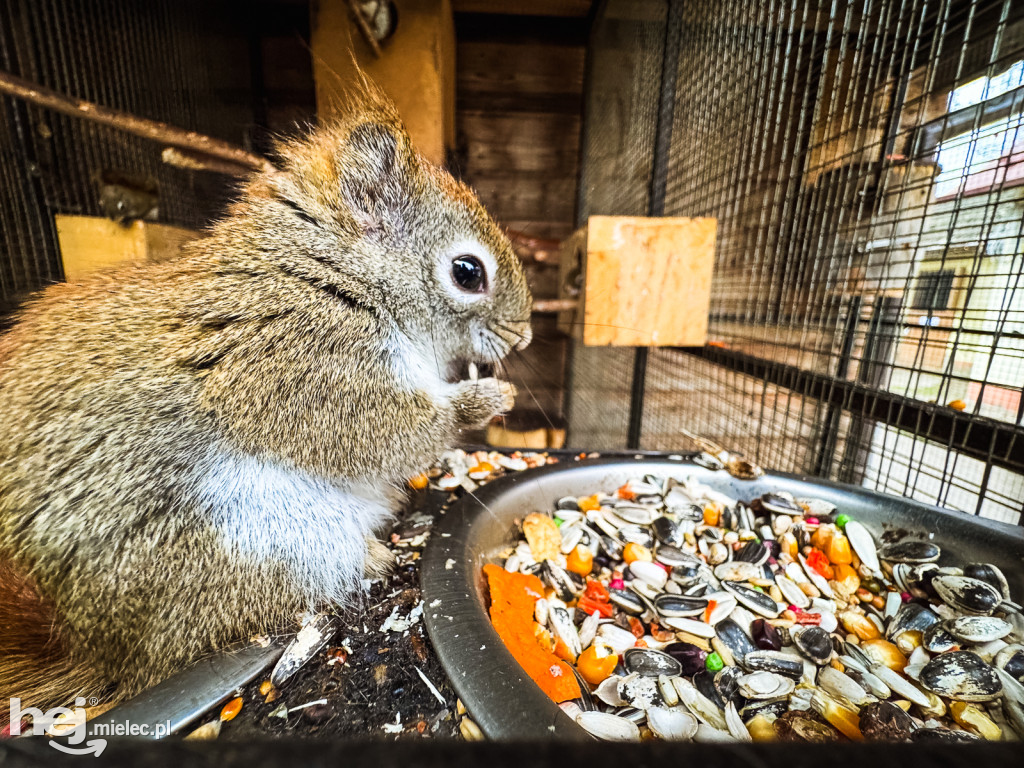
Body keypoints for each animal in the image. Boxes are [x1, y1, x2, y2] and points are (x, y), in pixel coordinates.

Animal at [0, 83, 528, 716]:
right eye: (467, 272)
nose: (522, 336)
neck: (335, 276)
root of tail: (104, 654)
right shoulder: (294, 366)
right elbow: (382, 430)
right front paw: (484, 399)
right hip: (258, 541)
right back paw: (373, 560)